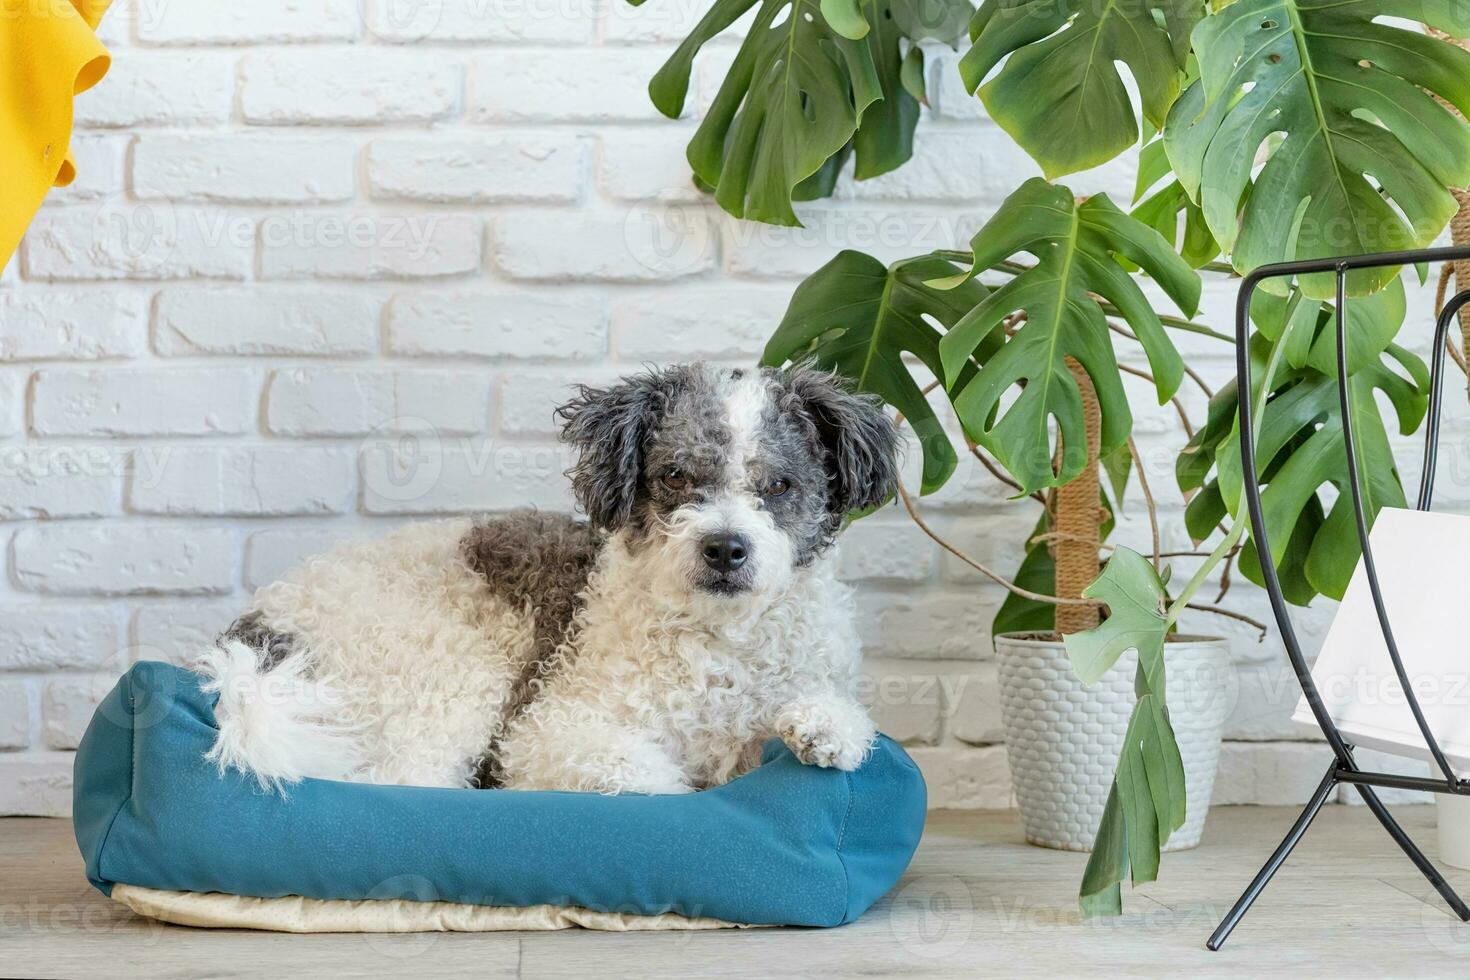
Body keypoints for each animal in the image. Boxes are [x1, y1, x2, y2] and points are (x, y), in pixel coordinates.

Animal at [199, 362, 899, 799]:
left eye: (778, 485)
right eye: (675, 475)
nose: (725, 548)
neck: (719, 639)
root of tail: (265, 628)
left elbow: (830, 722)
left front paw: (823, 728)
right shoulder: (548, 731)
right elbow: (652, 776)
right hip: (454, 671)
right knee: (392, 787)